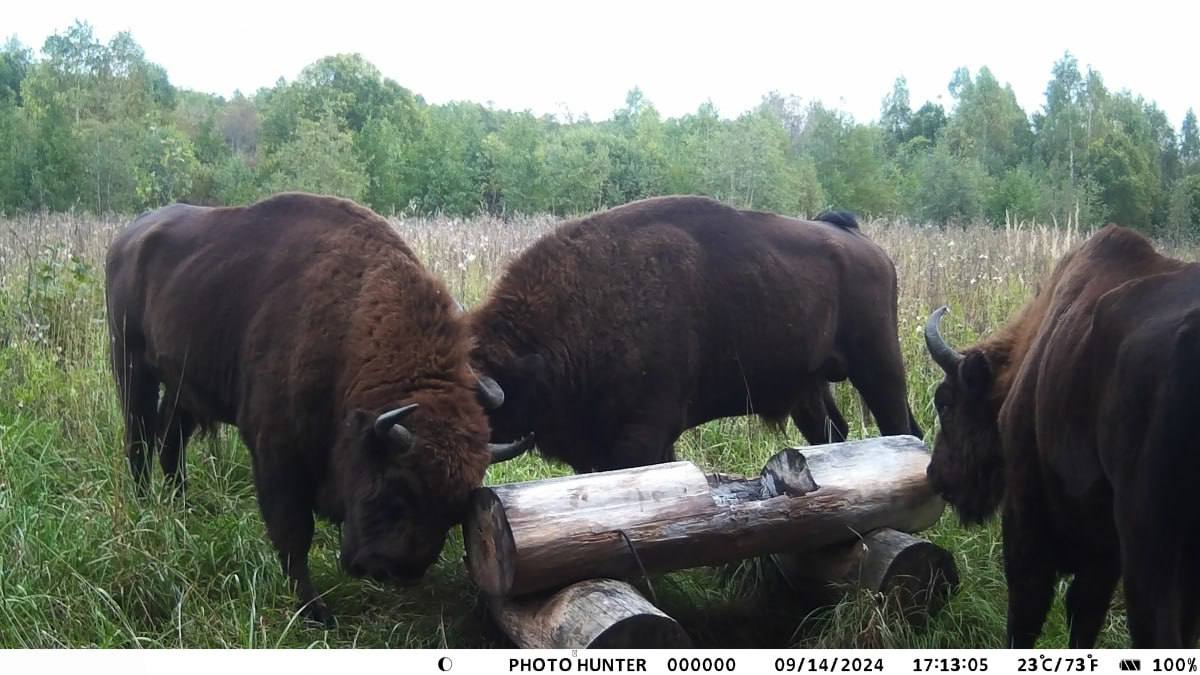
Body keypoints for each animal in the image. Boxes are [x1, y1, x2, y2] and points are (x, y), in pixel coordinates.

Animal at [104, 192, 530, 624]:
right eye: (395, 490)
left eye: (455, 510)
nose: (395, 572)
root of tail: (127, 237)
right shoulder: (277, 456)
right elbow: (294, 532)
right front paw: (315, 609)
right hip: (131, 364)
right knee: (139, 437)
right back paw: (144, 506)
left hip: (184, 388)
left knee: (171, 442)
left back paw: (181, 507)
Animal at [468, 193, 916, 473]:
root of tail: (862, 243)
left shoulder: (644, 437)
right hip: (808, 389)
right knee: (833, 434)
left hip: (878, 366)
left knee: (903, 427)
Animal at [931, 223, 1200, 643]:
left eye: (945, 403)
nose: (934, 475)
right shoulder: (1103, 554)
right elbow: (1084, 612)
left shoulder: (1028, 519)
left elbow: (1028, 610)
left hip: (1150, 556)